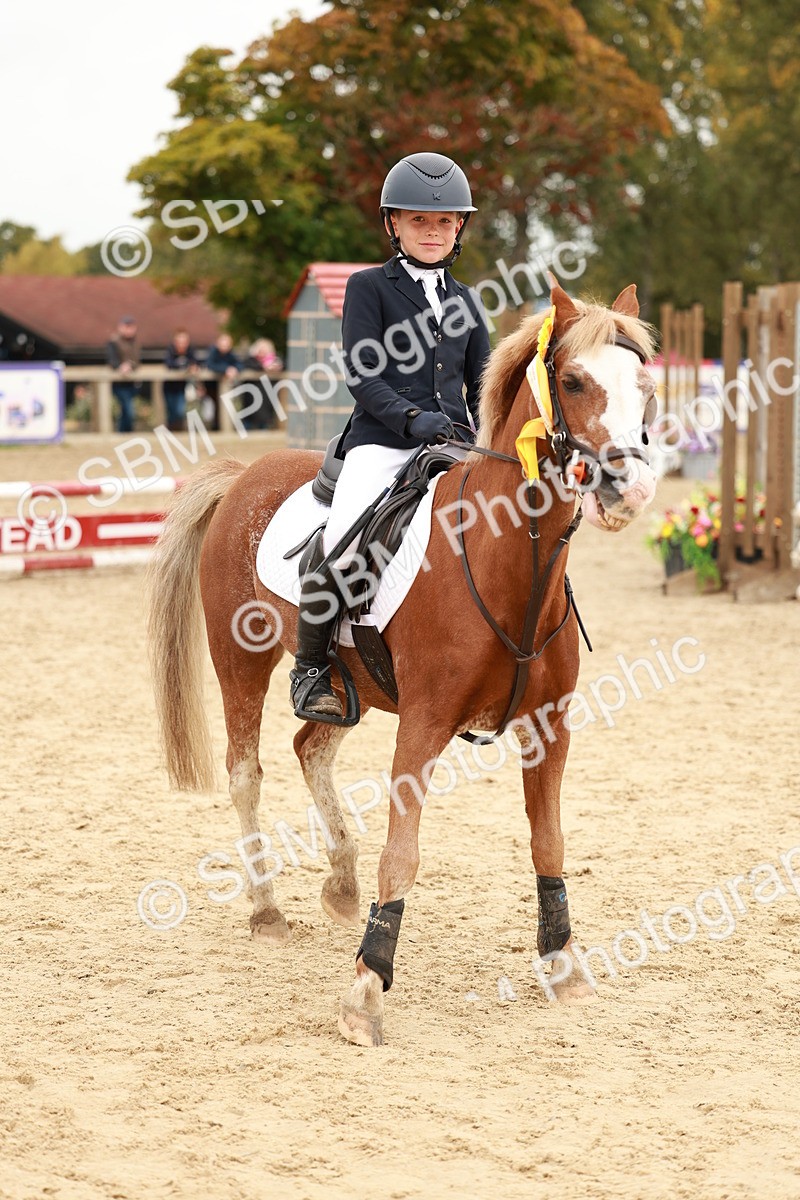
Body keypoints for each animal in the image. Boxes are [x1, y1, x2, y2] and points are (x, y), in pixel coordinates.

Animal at [147, 282, 658, 1046]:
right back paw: (266, 909)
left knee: (310, 747)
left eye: (645, 386)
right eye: (572, 381)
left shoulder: (549, 728)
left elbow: (549, 843)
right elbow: (403, 854)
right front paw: (366, 990)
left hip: (345, 687)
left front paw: (564, 968)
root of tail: (245, 475)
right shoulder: (423, 724)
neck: (505, 559)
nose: (631, 489)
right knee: (246, 774)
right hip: (239, 660)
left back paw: (340, 884)